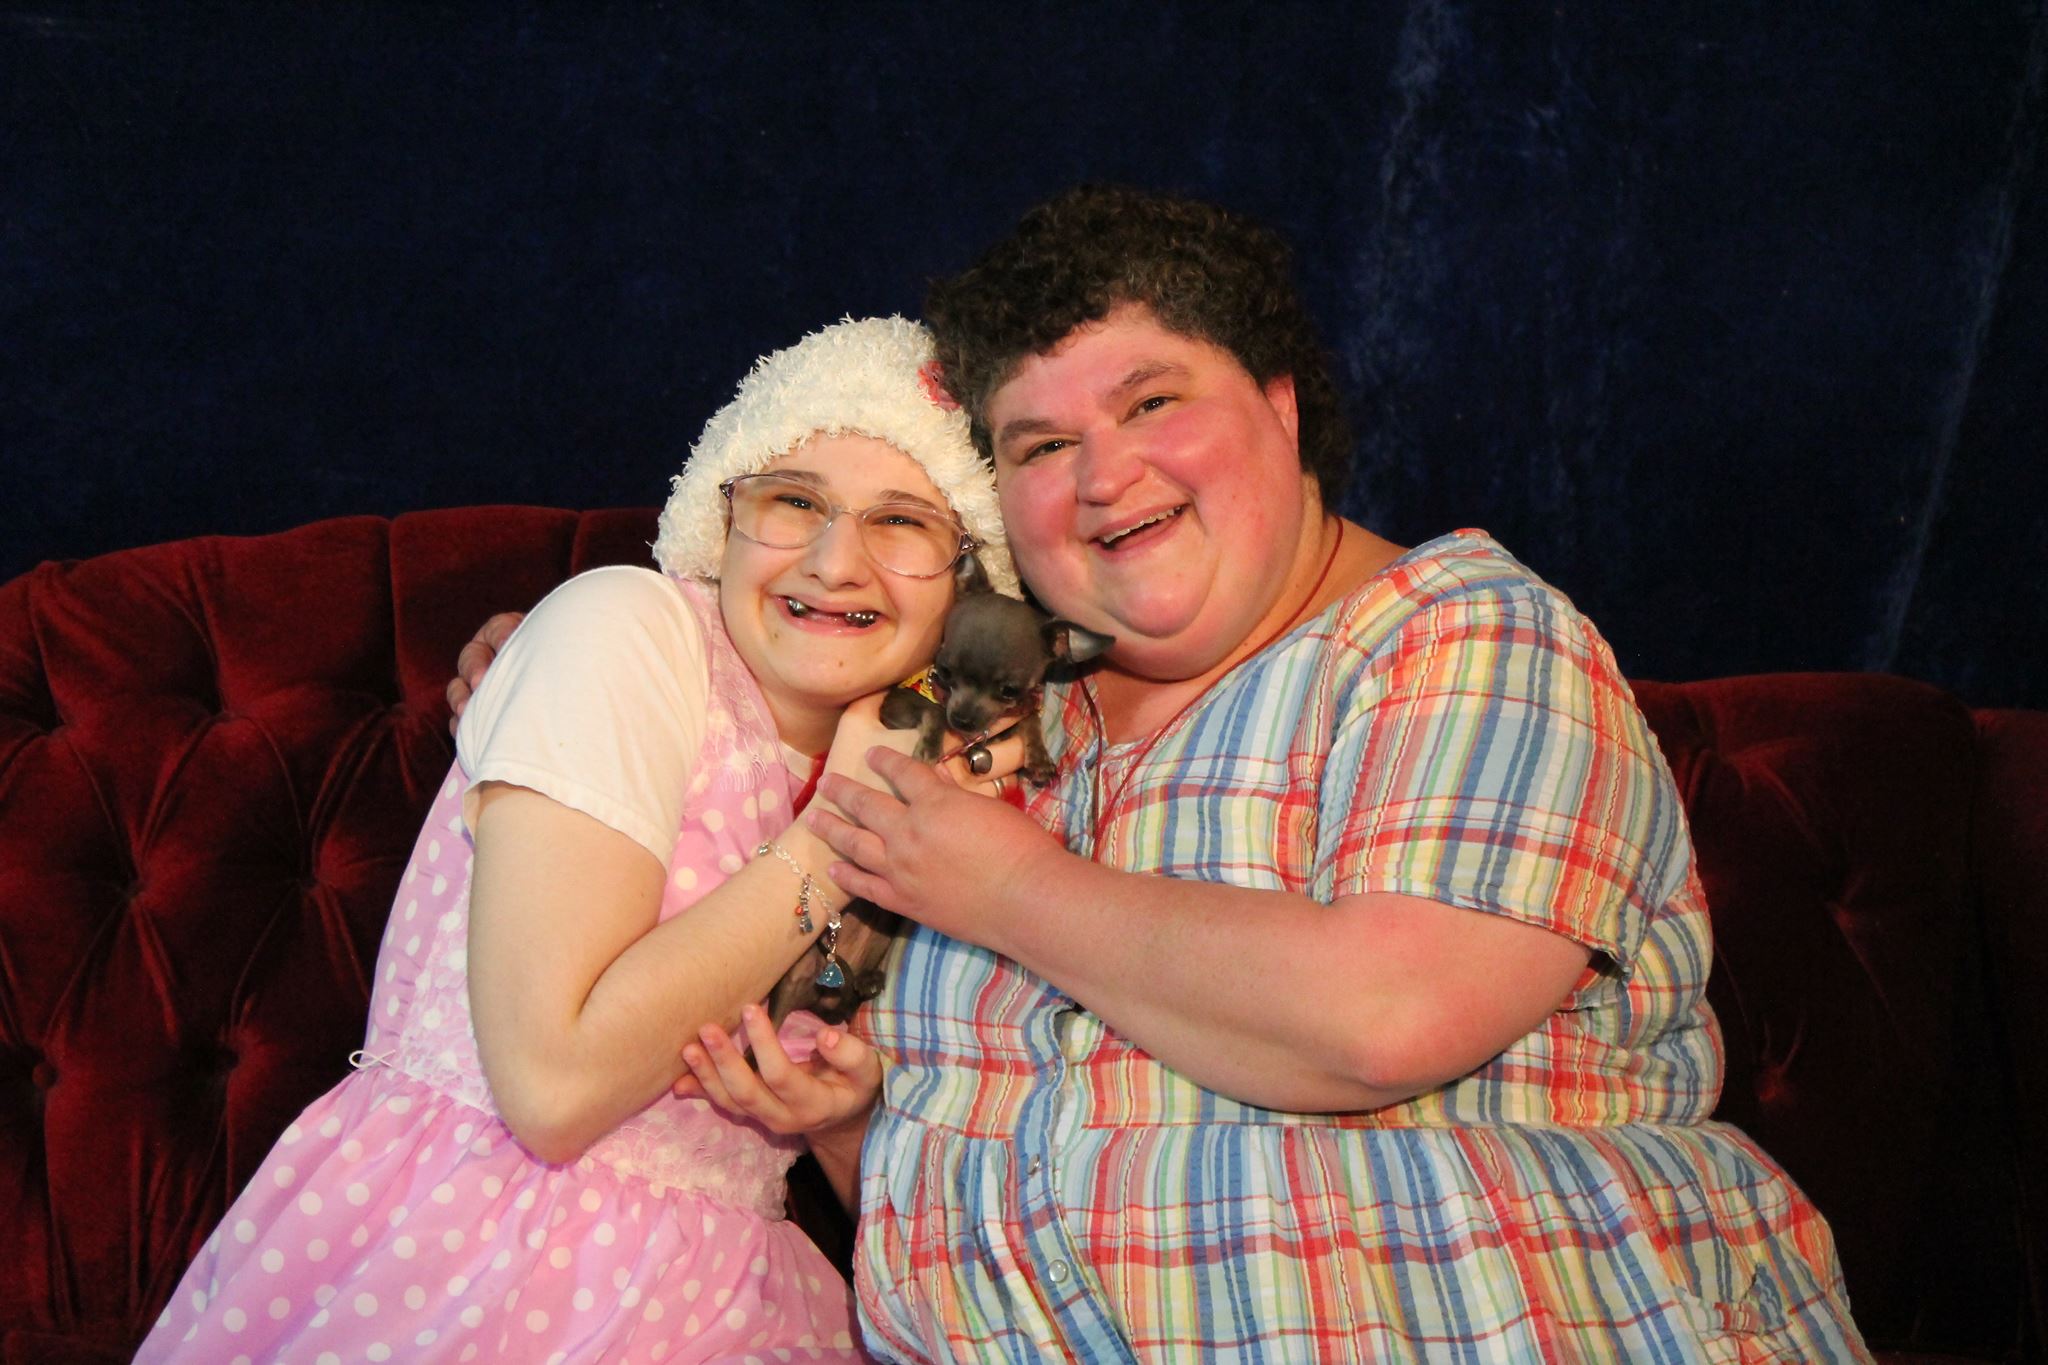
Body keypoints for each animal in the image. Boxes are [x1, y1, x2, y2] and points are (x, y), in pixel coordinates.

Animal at [770, 556, 1114, 1023]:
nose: (963, 719)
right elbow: (930, 710)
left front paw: (1040, 758)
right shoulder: (897, 707)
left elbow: (1028, 720)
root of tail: (814, 987)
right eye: (942, 672)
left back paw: (865, 980)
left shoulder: (1009, 718)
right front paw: (930, 745)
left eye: (1009, 689)